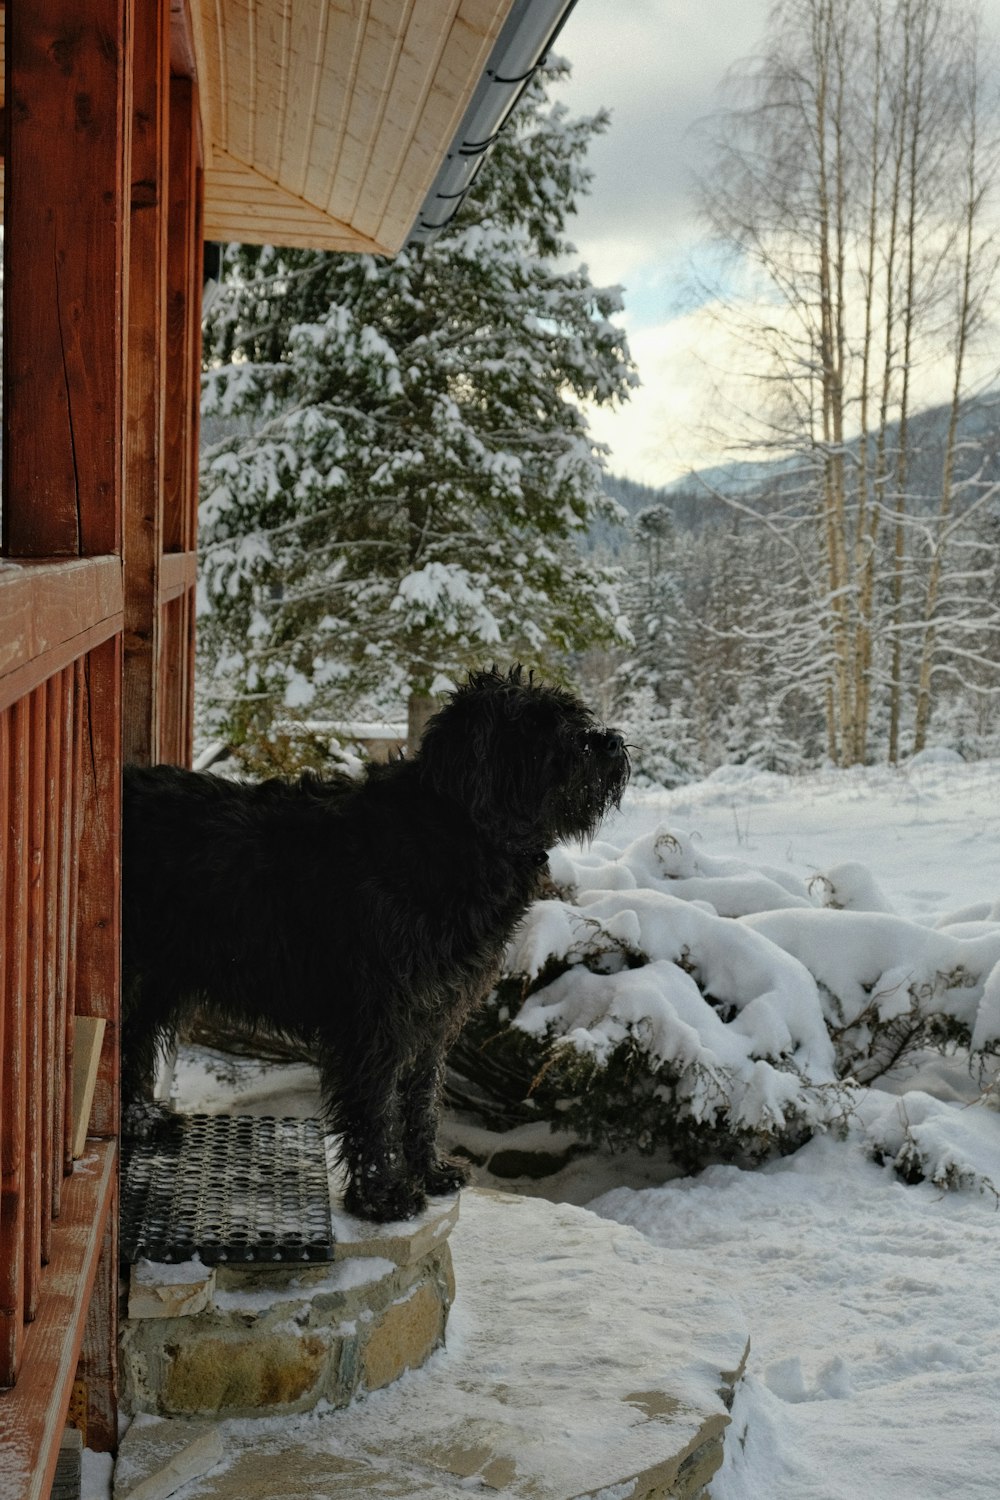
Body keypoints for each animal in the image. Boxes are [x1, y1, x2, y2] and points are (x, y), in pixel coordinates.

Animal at [121, 669, 629, 1218]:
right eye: (535, 725)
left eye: (574, 714)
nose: (607, 742)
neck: (451, 829)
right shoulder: (378, 1018)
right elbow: (375, 1105)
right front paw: (381, 1195)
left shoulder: (434, 1014)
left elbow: (422, 1098)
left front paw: (429, 1171)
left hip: (156, 982)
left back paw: (140, 1118)